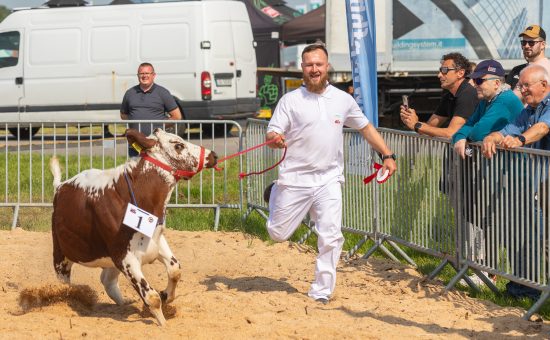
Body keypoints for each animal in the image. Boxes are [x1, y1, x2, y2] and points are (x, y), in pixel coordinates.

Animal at [50, 129, 218, 326]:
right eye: (178, 145)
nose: (213, 155)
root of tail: (60, 187)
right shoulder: (124, 257)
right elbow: (152, 297)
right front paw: (163, 324)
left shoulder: (155, 240)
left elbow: (175, 269)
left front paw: (166, 295)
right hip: (61, 254)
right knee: (65, 283)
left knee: (107, 281)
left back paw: (124, 305)